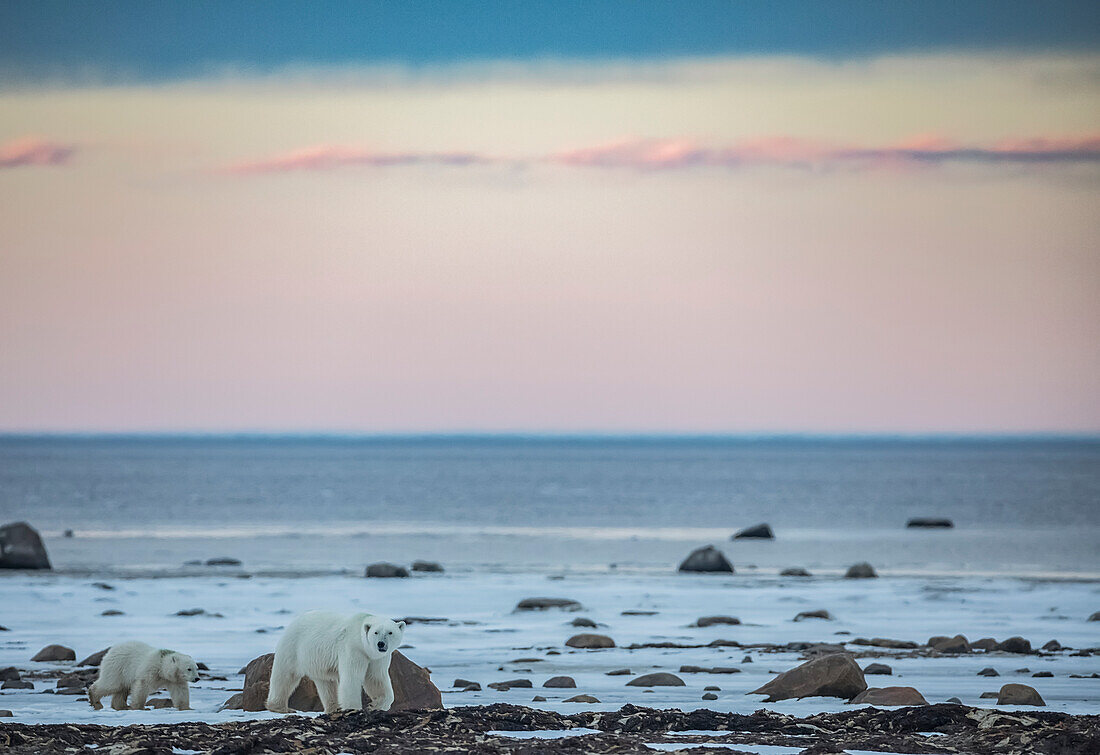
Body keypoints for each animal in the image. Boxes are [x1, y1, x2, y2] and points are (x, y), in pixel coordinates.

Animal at [266, 611, 404, 713]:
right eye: (375, 632)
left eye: (390, 632)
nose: (381, 644)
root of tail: (294, 621)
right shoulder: (352, 649)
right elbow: (351, 678)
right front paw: (354, 708)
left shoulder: (377, 658)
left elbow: (375, 678)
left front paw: (376, 705)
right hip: (293, 647)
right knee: (285, 676)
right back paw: (280, 707)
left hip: (318, 661)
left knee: (326, 684)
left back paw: (333, 708)